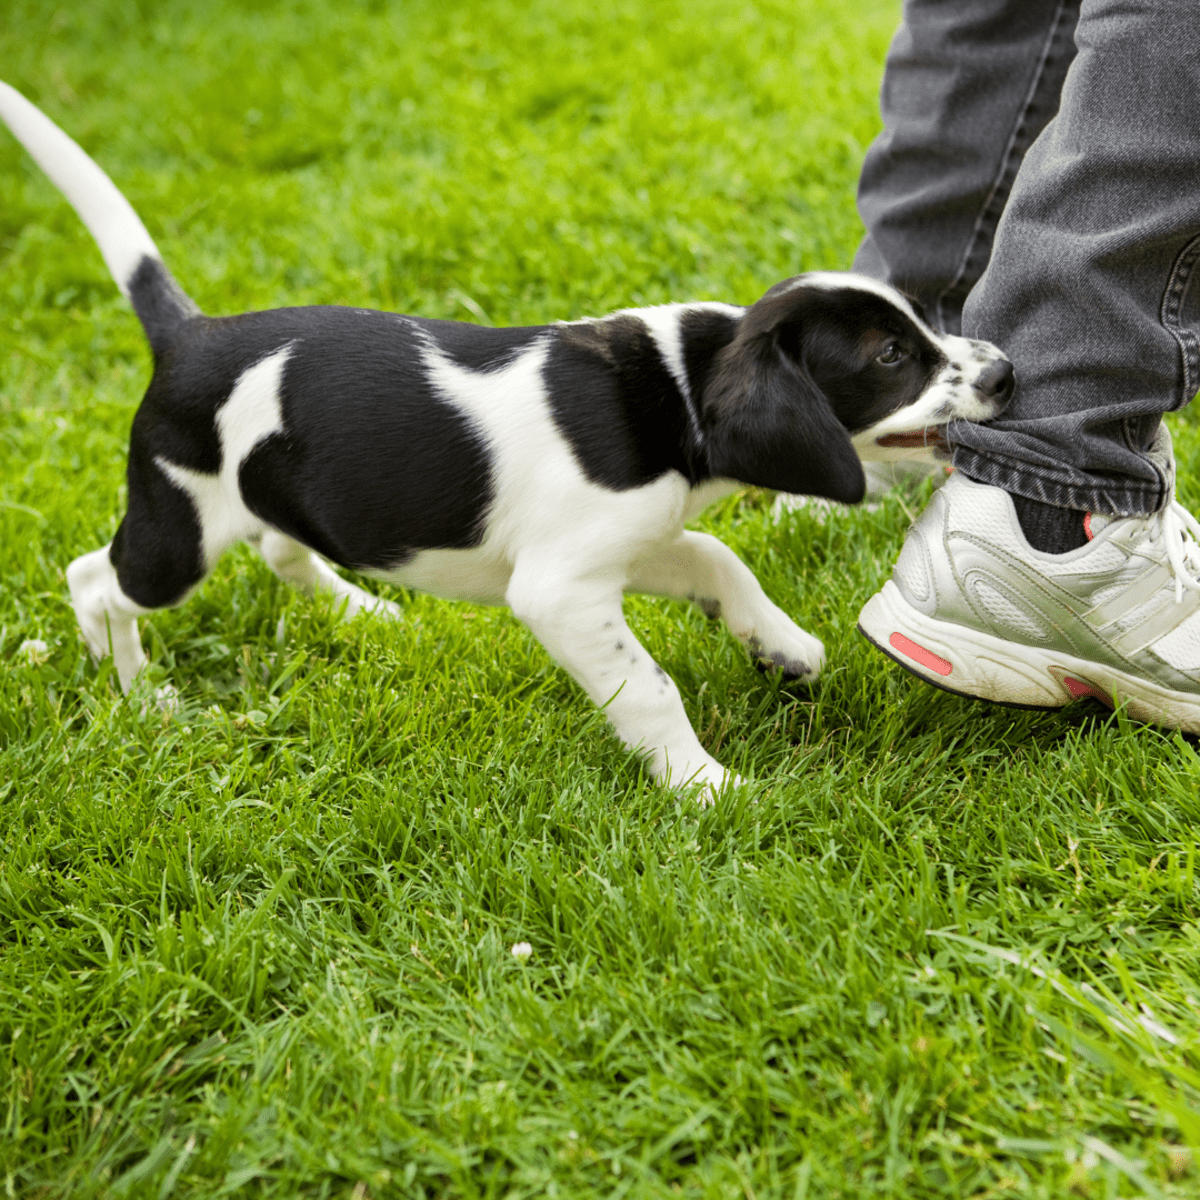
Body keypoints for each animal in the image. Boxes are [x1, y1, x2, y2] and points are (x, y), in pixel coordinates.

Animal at [0, 82, 1012, 796]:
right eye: (891, 357)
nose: (1005, 373)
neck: (678, 386)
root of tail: (191, 334)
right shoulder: (560, 590)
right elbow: (651, 686)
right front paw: (705, 785)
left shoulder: (625, 544)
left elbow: (720, 559)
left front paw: (783, 646)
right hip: (179, 527)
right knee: (97, 581)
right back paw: (141, 694)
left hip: (273, 489)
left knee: (283, 548)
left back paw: (360, 610)